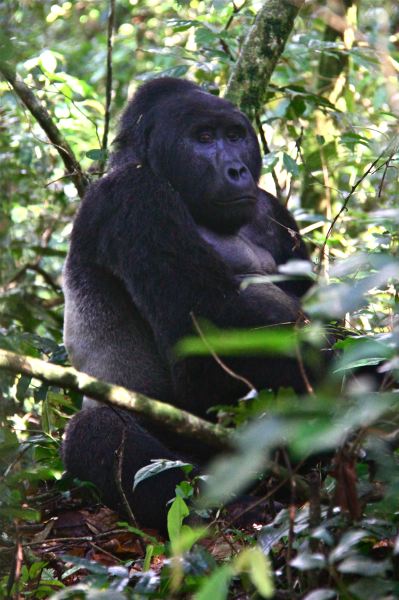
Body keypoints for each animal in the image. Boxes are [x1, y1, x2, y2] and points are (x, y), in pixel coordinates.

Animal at [62, 77, 312, 532]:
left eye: (235, 135)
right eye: (204, 138)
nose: (236, 170)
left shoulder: (270, 208)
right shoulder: (135, 197)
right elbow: (206, 350)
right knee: (96, 429)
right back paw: (230, 507)